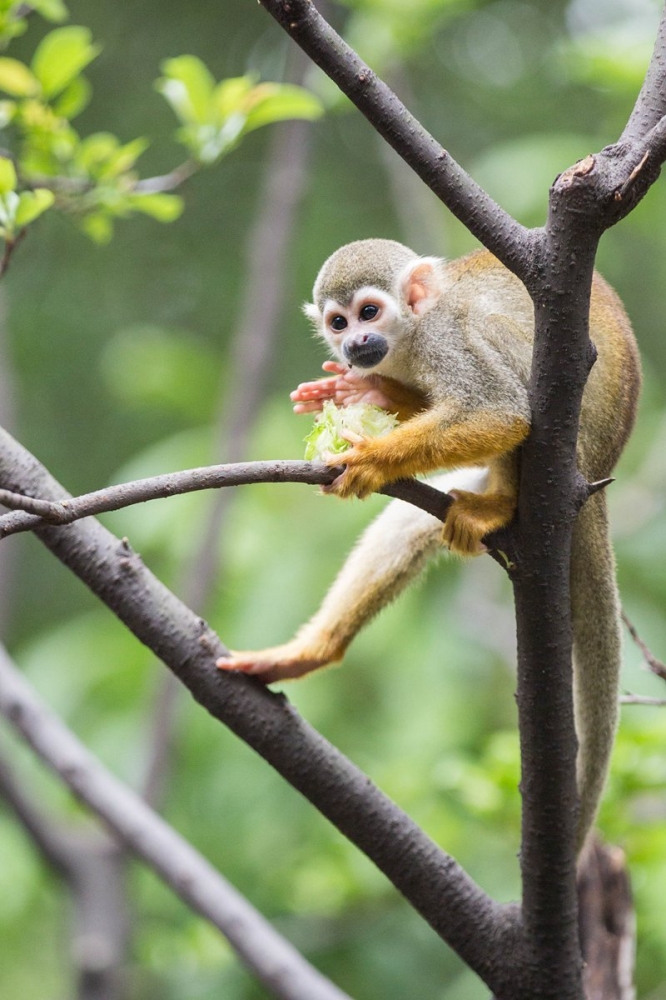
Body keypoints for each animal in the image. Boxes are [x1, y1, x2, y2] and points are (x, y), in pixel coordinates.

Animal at [218, 236, 640, 844]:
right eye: (338, 322)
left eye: (369, 313)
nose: (355, 343)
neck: (409, 337)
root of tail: (601, 472)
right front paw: (366, 390)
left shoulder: (446, 340)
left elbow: (499, 411)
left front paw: (370, 458)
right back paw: (313, 650)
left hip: (576, 440)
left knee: (509, 364)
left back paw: (499, 505)